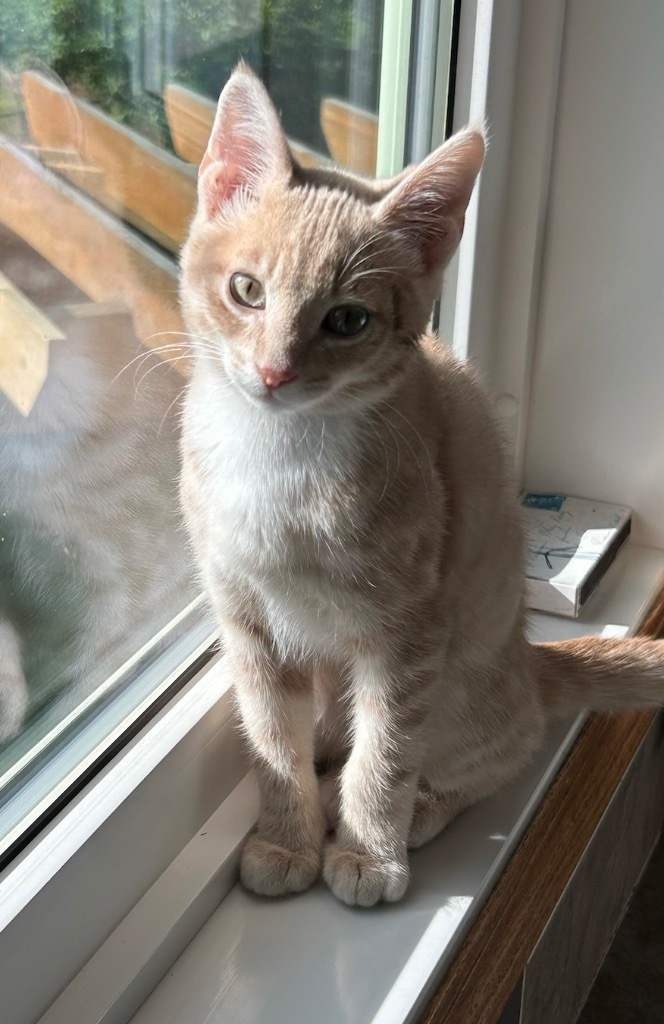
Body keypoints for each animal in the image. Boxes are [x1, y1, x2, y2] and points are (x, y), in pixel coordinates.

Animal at [179, 61, 664, 905]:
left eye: (347, 321)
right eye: (246, 290)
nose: (273, 372)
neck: (279, 454)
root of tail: (527, 661)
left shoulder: (410, 633)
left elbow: (388, 752)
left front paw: (368, 852)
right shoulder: (247, 621)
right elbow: (271, 738)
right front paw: (286, 837)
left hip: (470, 685)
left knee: (493, 755)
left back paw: (417, 812)